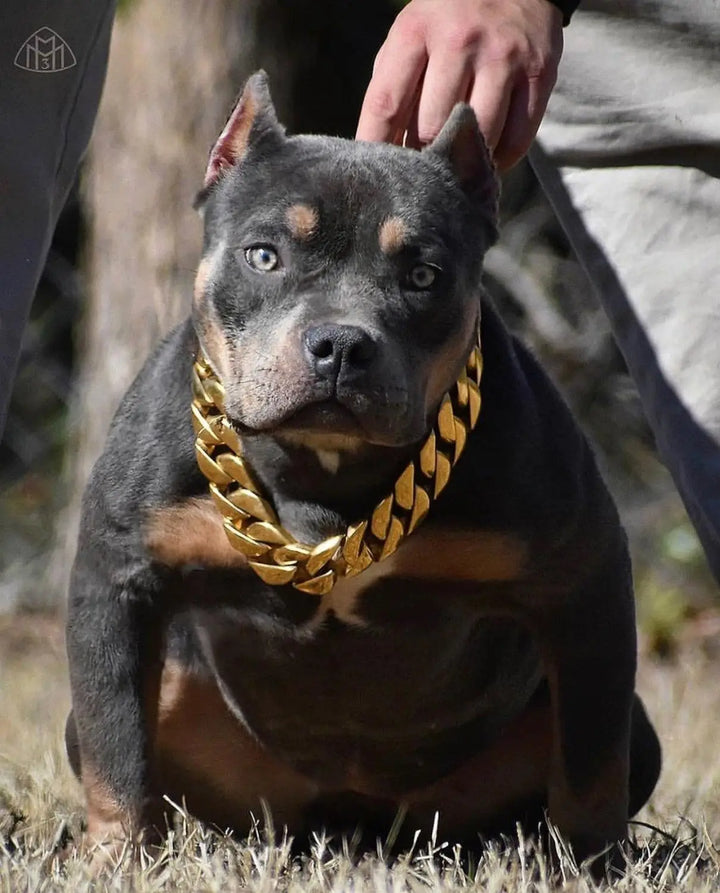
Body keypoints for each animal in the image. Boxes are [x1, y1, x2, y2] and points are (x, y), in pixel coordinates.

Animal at [64, 71, 660, 864]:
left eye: (424, 275)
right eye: (264, 256)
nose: (342, 344)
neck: (324, 474)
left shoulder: (583, 582)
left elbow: (592, 759)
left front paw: (592, 863)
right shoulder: (120, 580)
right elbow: (117, 744)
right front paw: (119, 855)